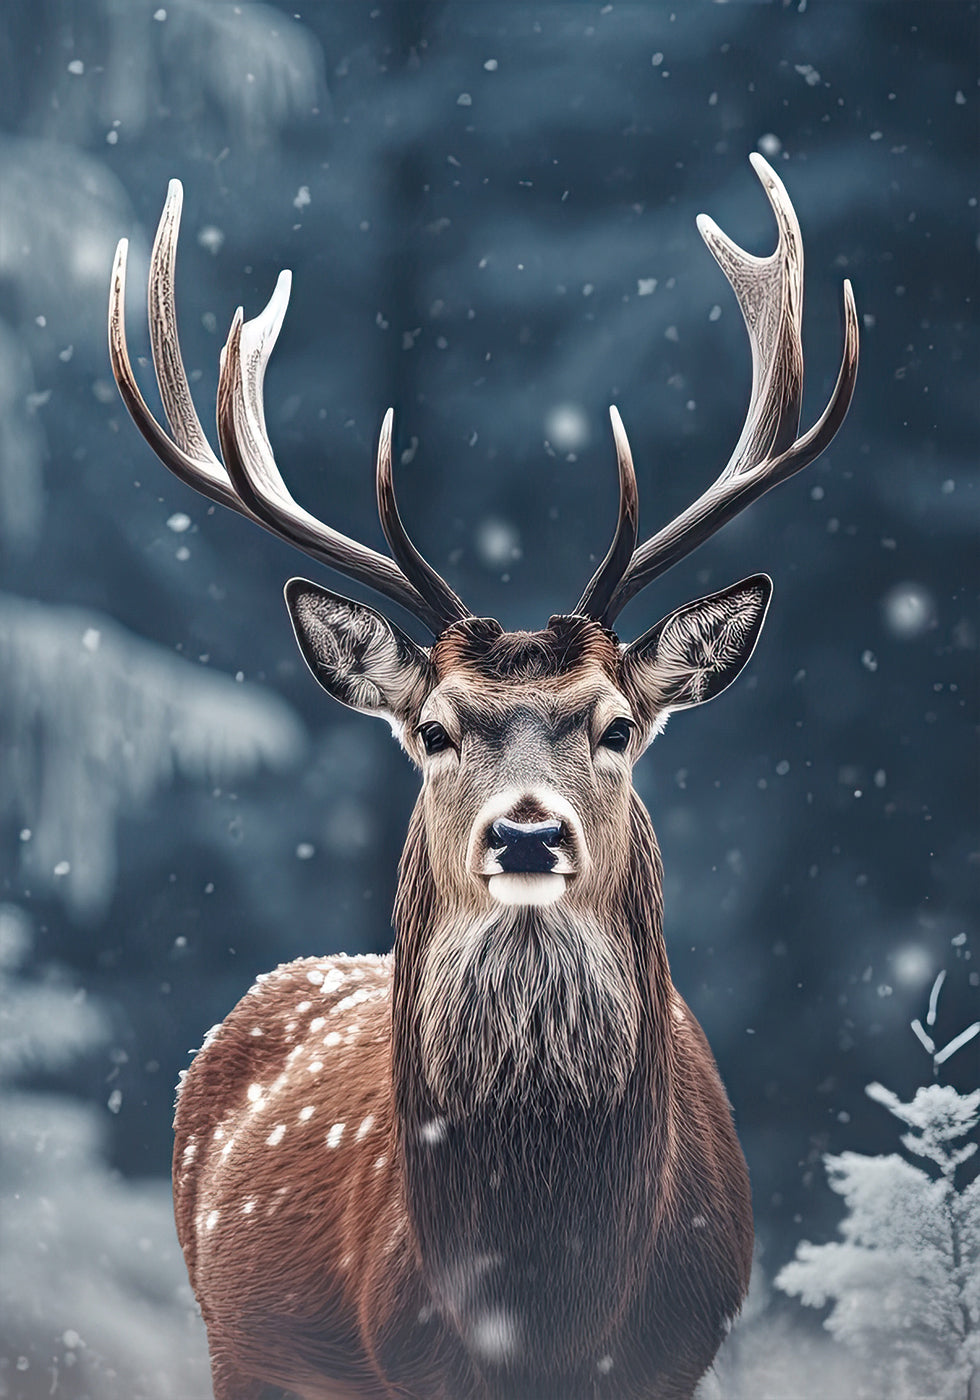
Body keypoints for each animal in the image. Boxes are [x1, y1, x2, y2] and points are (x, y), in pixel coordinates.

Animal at [108, 154, 857, 1400]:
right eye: (433, 728)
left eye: (616, 725)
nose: (525, 835)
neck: (543, 1298)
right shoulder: (405, 1359)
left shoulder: (677, 1351)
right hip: (235, 1345)